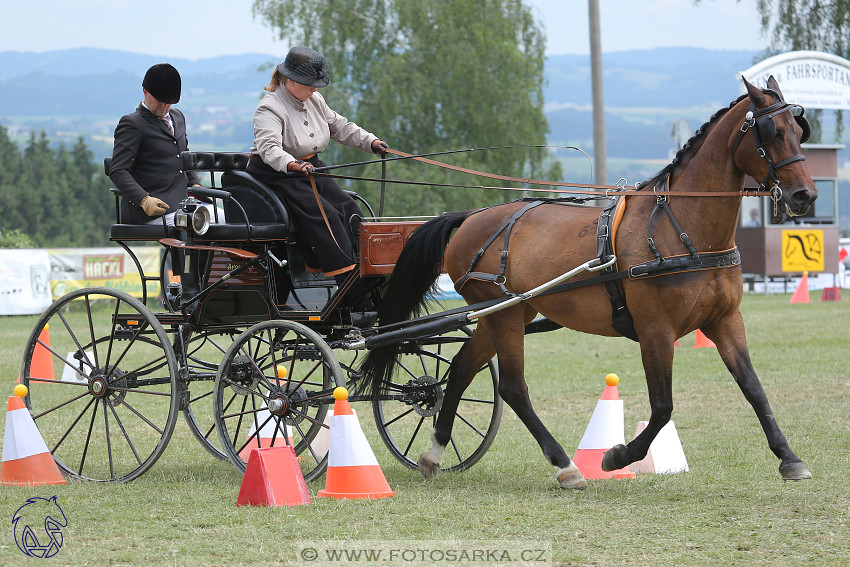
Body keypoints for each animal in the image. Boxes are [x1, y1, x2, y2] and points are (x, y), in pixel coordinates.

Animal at [360, 77, 816, 490]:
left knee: (459, 371)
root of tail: (472, 216)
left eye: (799, 132)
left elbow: (754, 389)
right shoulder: (655, 330)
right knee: (512, 387)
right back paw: (565, 466)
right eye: (772, 133)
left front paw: (789, 458)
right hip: (503, 314)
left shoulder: (725, 320)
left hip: (502, 313)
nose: (804, 196)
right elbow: (662, 406)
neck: (682, 228)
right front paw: (617, 456)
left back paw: (433, 455)